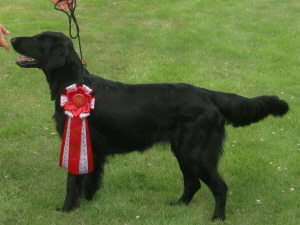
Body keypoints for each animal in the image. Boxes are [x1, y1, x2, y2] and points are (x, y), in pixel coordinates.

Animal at [11, 32, 288, 221]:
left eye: (39, 40)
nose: (12, 38)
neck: (74, 86)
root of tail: (208, 95)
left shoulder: (78, 144)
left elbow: (73, 183)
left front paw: (66, 209)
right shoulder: (93, 151)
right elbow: (90, 181)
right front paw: (88, 206)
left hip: (195, 153)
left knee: (219, 186)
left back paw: (217, 218)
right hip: (183, 152)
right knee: (192, 183)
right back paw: (178, 205)